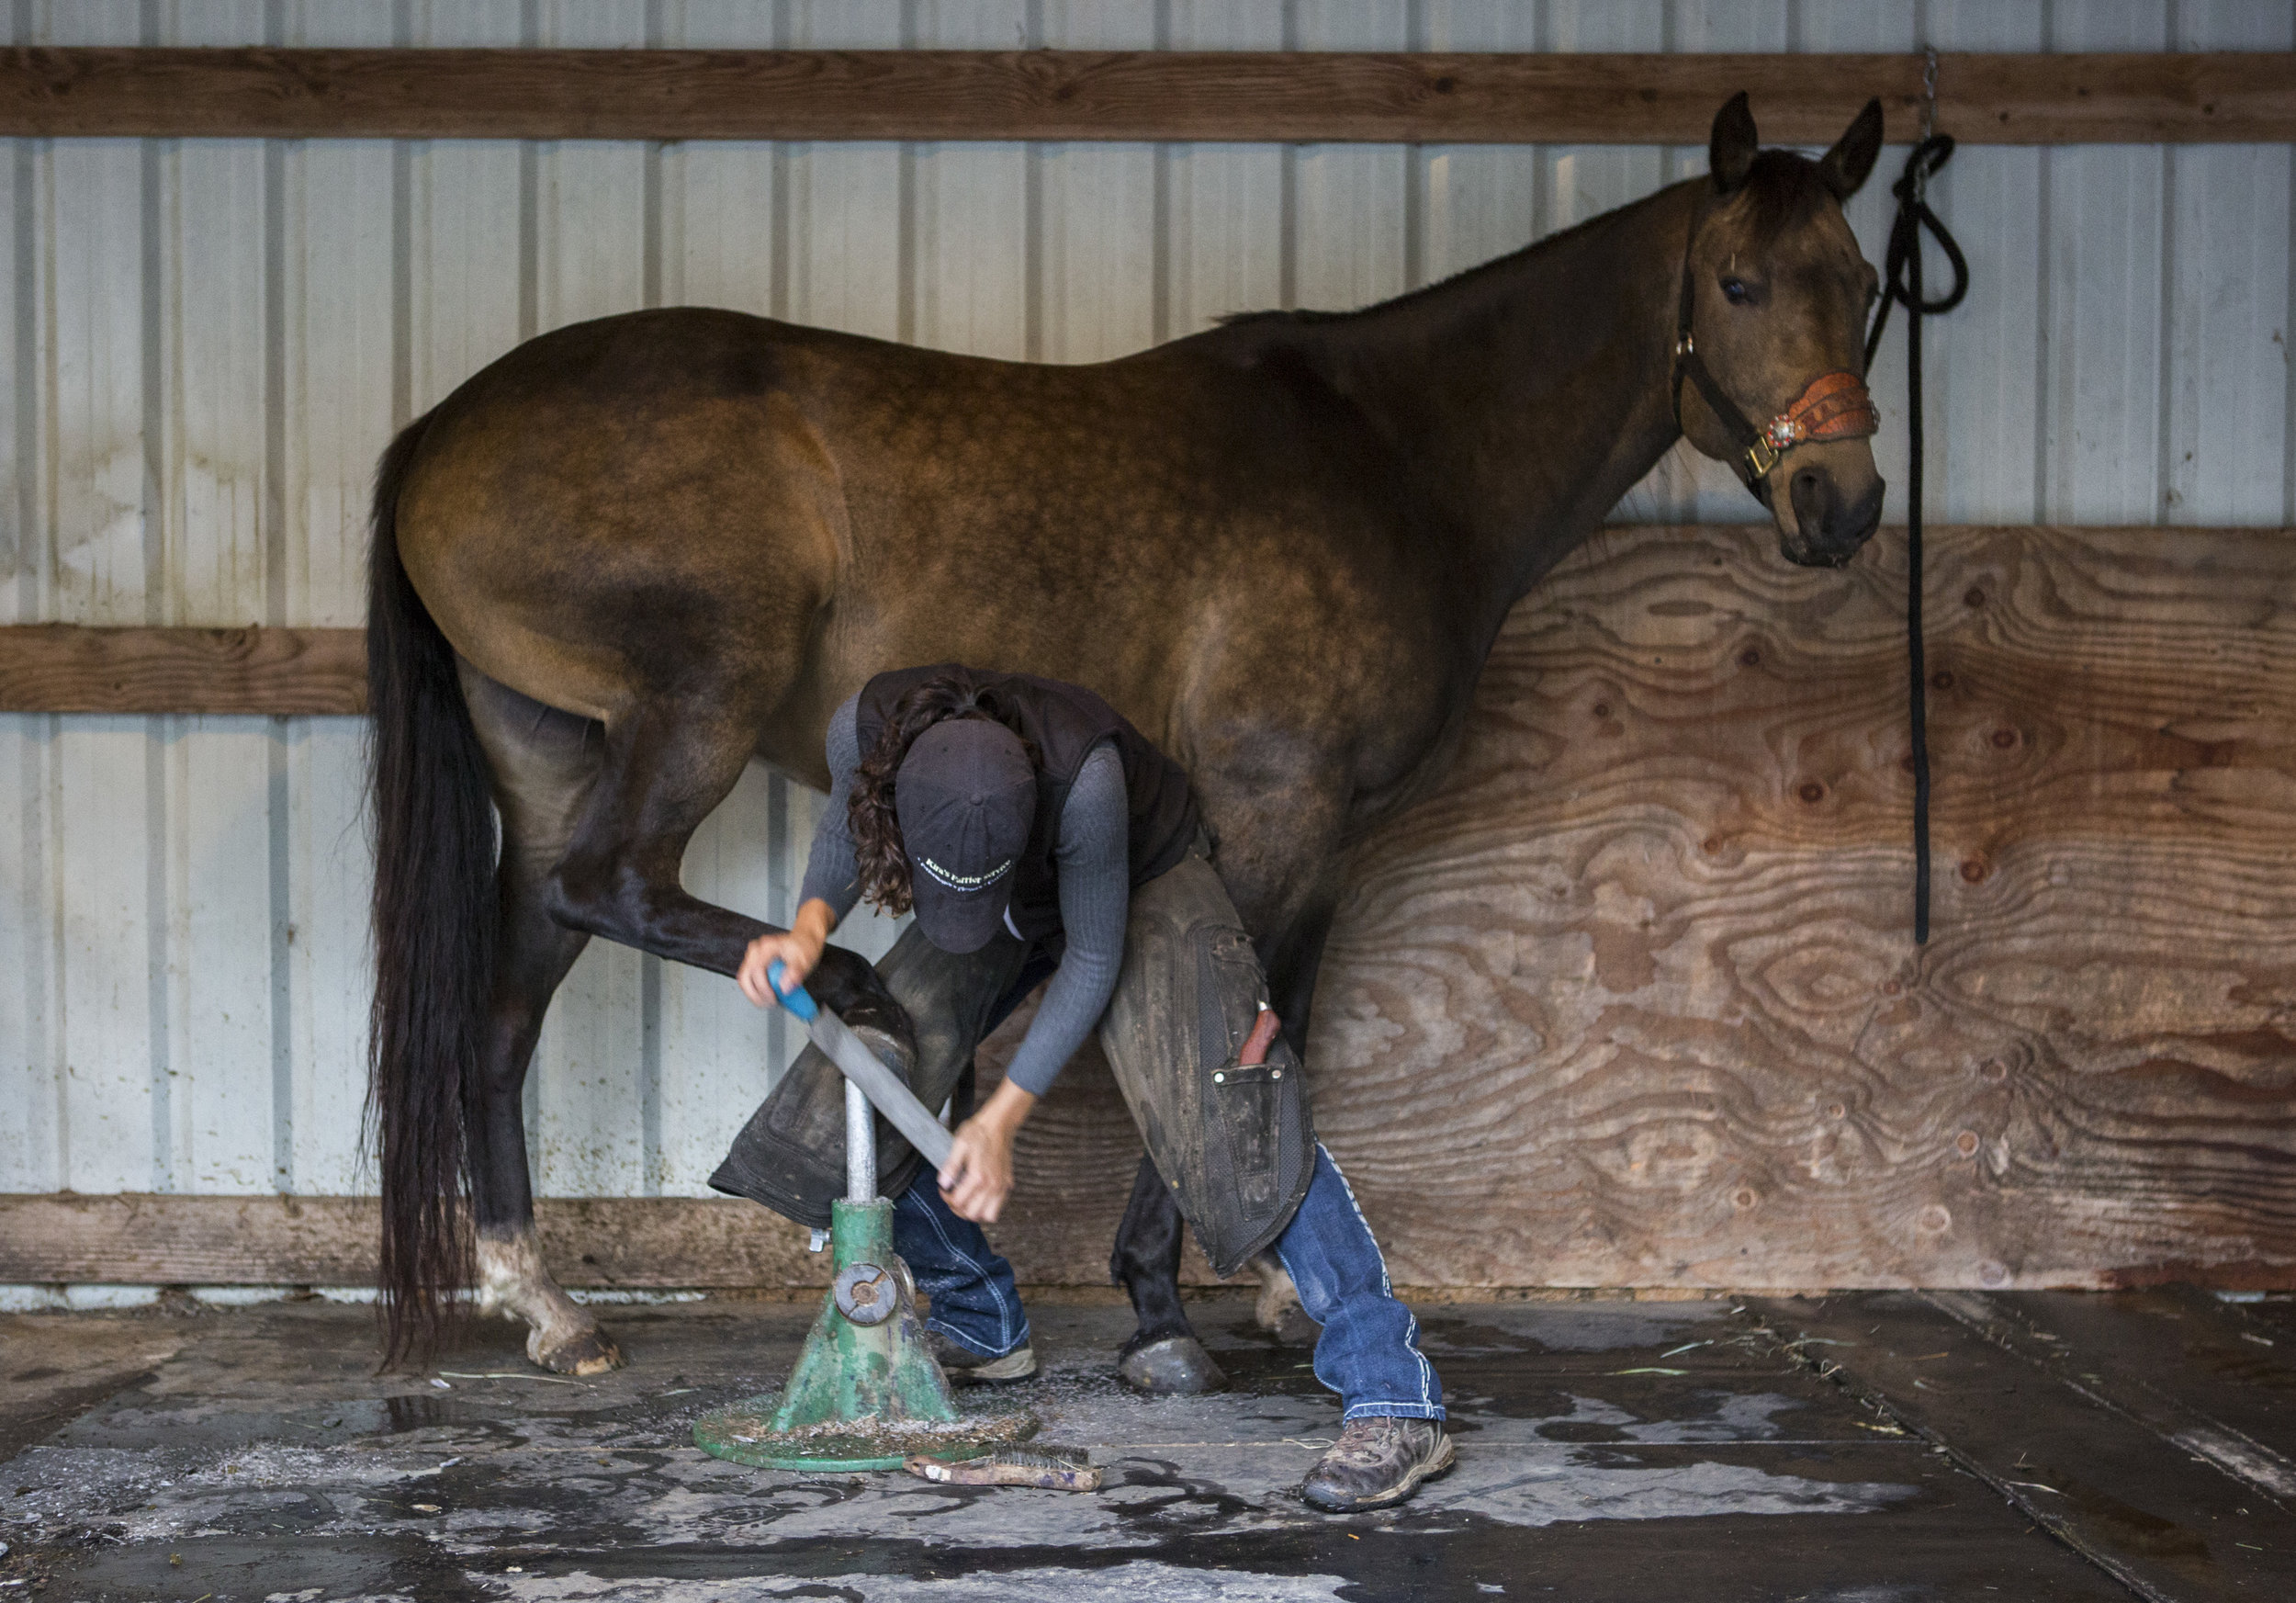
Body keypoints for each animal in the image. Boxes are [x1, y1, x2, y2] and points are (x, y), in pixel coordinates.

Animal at [372, 96, 1883, 1378]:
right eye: (1738, 285)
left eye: (1865, 283)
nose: (1843, 501)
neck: (1394, 456)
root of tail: (438, 425)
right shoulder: (1274, 811)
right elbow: (1213, 1049)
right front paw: (1166, 1298)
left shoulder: (1330, 847)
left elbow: (1285, 1036)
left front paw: (1271, 1283)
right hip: (691, 712)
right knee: (611, 886)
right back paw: (846, 996)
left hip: (552, 762)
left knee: (501, 1017)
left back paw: (545, 1302)